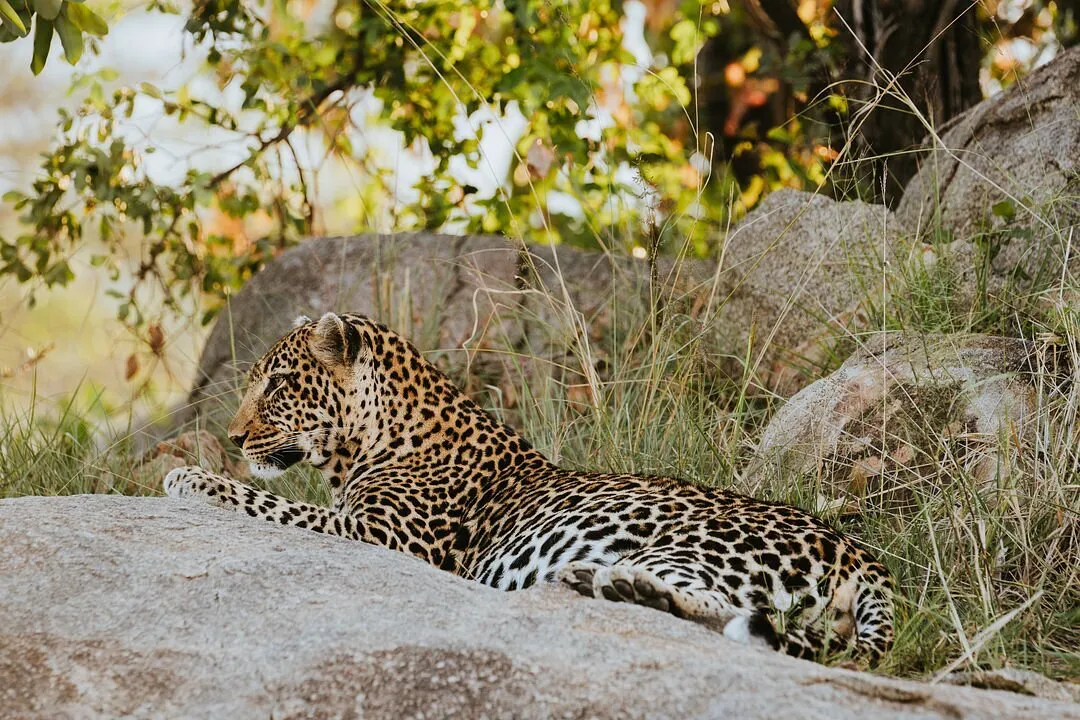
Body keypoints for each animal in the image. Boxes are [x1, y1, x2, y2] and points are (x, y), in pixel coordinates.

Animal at [164, 312, 895, 663]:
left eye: (279, 385)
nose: (233, 436)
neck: (369, 442)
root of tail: (860, 552)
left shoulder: (379, 536)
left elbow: (272, 502)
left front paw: (190, 476)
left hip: (686, 543)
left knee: (722, 613)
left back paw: (614, 588)